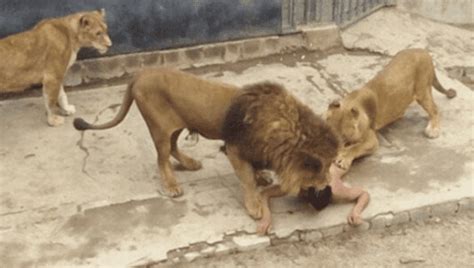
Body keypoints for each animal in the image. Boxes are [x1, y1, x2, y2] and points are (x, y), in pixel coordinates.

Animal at [221, 82, 370, 234]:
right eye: (324, 166)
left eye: (329, 165)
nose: (328, 181)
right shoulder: (237, 147)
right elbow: (249, 180)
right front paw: (255, 208)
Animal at [326, 48, 456, 172]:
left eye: (344, 137)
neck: (350, 102)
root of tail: (424, 52)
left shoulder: (372, 139)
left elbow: (355, 147)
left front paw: (343, 158)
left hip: (422, 90)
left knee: (435, 109)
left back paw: (433, 129)